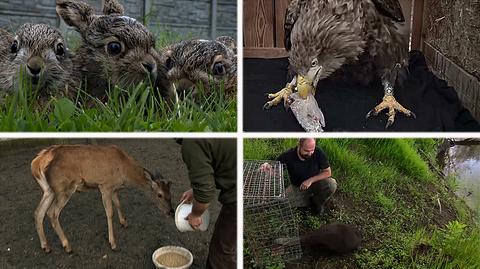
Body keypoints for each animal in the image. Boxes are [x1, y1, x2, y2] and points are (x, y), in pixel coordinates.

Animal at [30, 143, 172, 252]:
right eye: (159, 194)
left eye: (170, 193)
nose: (170, 211)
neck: (125, 173)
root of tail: (37, 163)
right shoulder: (105, 186)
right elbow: (109, 212)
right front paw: (113, 243)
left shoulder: (114, 188)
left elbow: (118, 203)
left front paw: (124, 222)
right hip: (64, 187)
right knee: (52, 213)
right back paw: (67, 245)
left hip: (48, 190)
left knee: (38, 212)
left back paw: (46, 246)